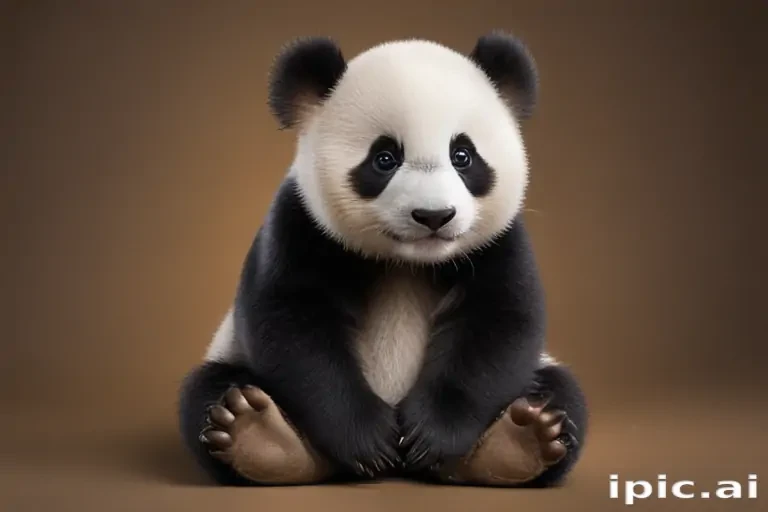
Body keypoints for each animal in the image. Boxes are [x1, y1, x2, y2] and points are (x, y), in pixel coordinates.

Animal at [178, 31, 588, 488]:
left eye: (462, 156)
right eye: (385, 159)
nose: (434, 216)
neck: (407, 261)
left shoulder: (497, 242)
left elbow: (500, 325)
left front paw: (431, 434)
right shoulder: (299, 223)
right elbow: (291, 324)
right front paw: (368, 441)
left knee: (561, 394)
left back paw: (521, 440)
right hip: (228, 357)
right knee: (209, 393)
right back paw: (258, 436)